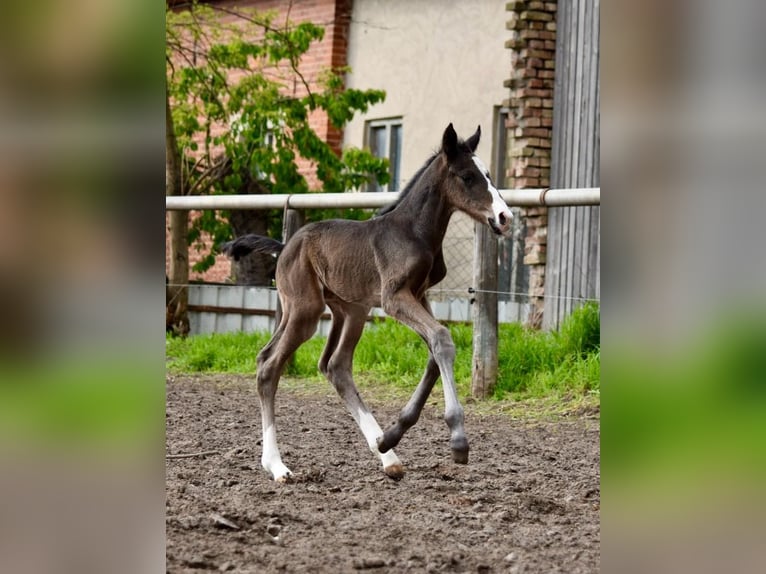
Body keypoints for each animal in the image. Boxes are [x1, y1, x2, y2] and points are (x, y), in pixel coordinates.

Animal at [222, 123, 512, 482]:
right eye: (467, 176)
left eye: (488, 174)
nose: (504, 216)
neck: (413, 231)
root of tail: (285, 245)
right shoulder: (394, 298)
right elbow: (442, 339)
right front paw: (458, 440)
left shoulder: (419, 294)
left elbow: (434, 350)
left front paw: (393, 434)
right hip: (305, 309)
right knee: (269, 364)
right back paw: (277, 466)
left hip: (351, 310)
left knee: (334, 365)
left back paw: (386, 453)